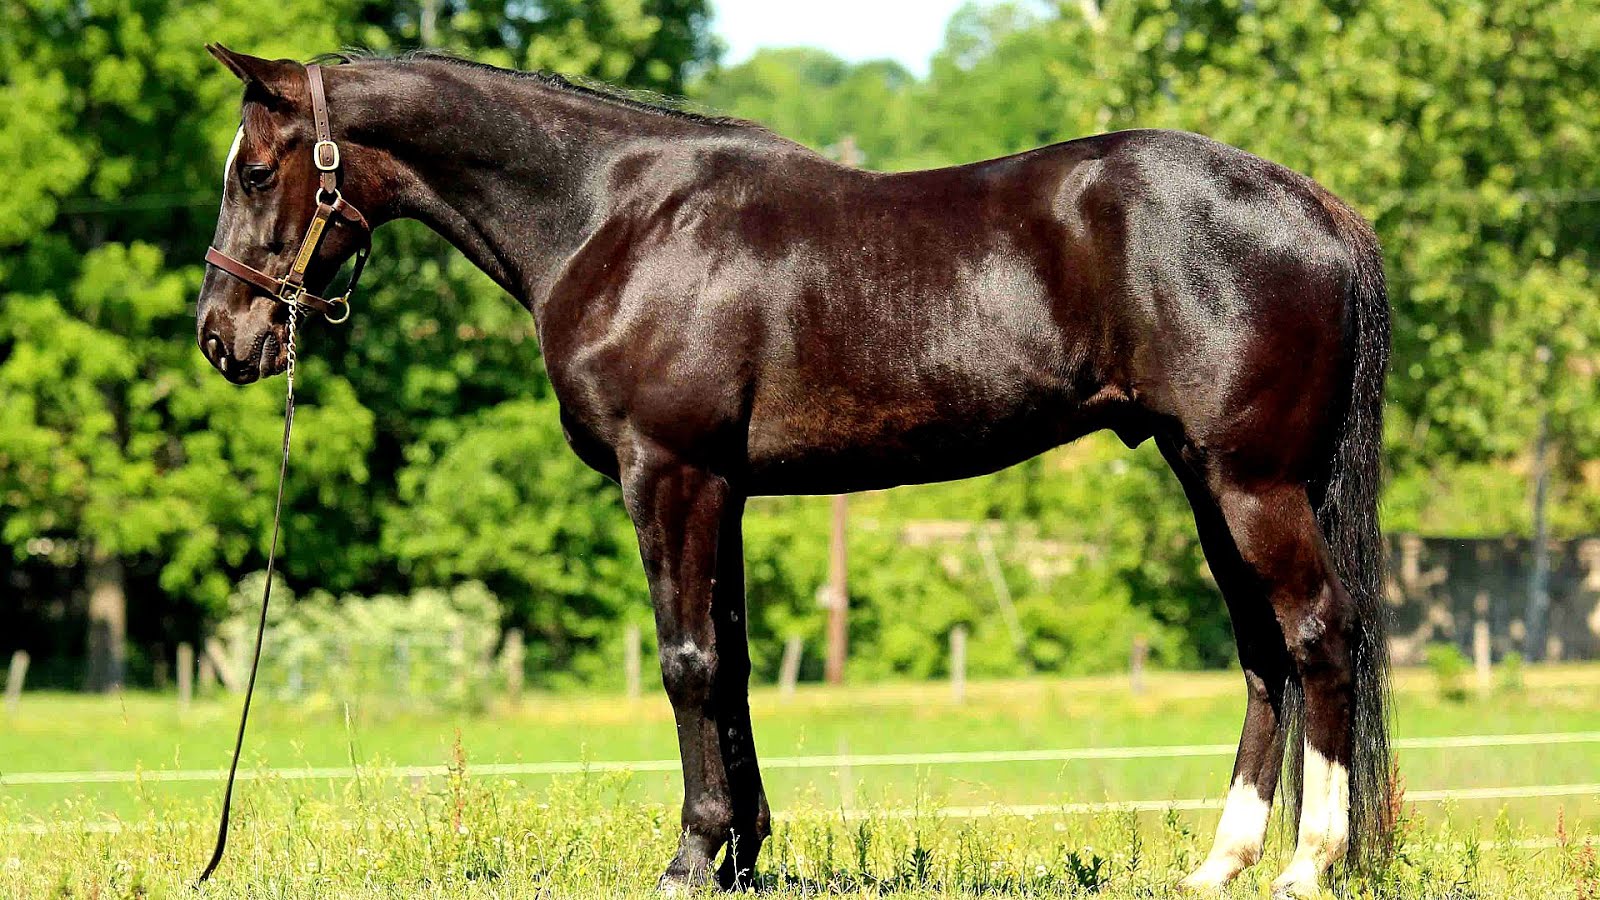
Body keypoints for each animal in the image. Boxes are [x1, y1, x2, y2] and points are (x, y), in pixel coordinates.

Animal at [196, 45, 1392, 897]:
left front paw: (690, 862)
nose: (223, 338)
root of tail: (1313, 206)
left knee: (1318, 635)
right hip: (1205, 477)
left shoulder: (667, 474)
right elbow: (729, 664)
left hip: (1251, 482)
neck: (611, 218)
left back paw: (1309, 862)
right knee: (1263, 655)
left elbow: (685, 661)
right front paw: (743, 856)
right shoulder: (720, 489)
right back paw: (1220, 863)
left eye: (256, 171)